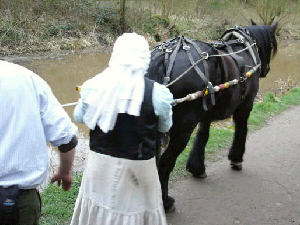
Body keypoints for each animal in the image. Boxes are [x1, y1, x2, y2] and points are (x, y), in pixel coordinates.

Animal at [146, 21, 278, 211]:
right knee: (164, 164)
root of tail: (165, 56)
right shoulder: (245, 106)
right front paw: (236, 158)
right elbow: (241, 129)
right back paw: (165, 202)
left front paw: (197, 168)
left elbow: (203, 136)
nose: (266, 70)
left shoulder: (206, 113)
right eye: (271, 46)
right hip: (183, 128)